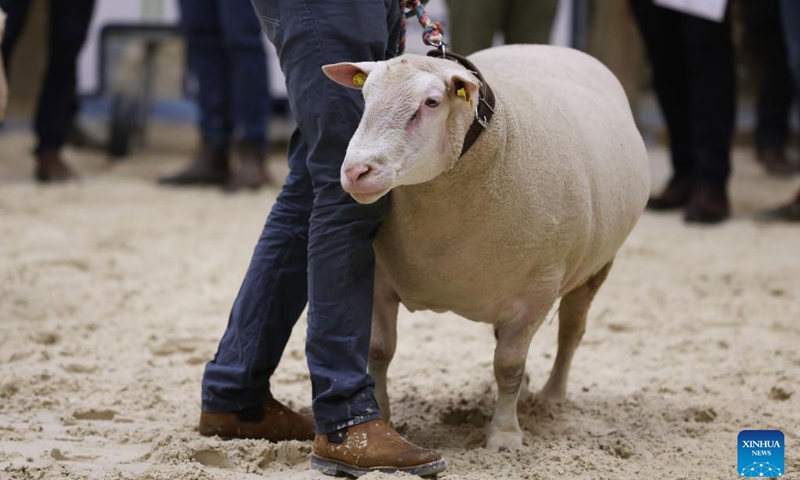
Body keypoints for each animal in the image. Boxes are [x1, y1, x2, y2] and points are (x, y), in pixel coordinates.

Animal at [322, 43, 648, 452]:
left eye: (431, 102)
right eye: (365, 96)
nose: (356, 172)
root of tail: (557, 47)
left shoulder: (536, 293)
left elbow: (508, 365)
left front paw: (504, 437)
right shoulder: (381, 278)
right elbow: (379, 350)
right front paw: (383, 418)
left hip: (595, 268)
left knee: (570, 332)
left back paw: (552, 398)